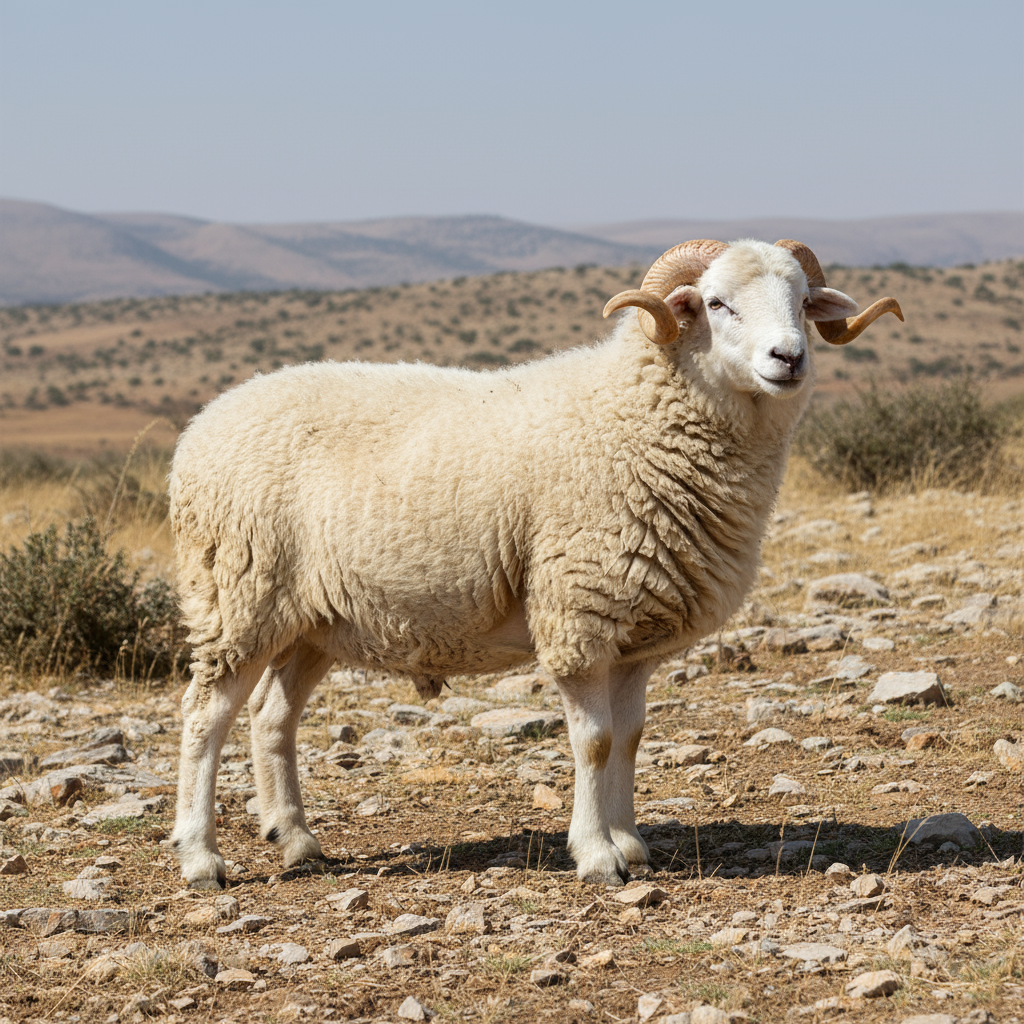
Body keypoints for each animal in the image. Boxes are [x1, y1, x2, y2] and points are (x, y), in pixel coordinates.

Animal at [169, 238, 902, 888]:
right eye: (717, 303)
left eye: (803, 301)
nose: (790, 357)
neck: (631, 415)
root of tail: (203, 423)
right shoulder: (579, 611)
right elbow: (595, 741)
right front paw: (597, 855)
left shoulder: (636, 634)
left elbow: (631, 737)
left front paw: (632, 844)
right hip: (238, 596)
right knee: (206, 716)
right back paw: (201, 858)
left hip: (310, 620)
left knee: (272, 717)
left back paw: (296, 840)